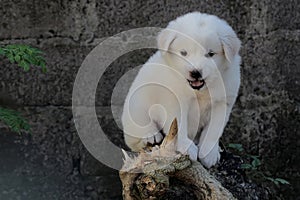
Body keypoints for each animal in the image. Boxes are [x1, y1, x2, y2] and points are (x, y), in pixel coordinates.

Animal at [120, 11, 240, 168]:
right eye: (183, 53)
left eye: (210, 54)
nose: (195, 72)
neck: (199, 91)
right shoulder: (174, 101)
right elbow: (178, 126)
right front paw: (188, 148)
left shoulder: (222, 103)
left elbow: (214, 129)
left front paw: (209, 153)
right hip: (136, 106)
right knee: (135, 136)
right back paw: (151, 135)